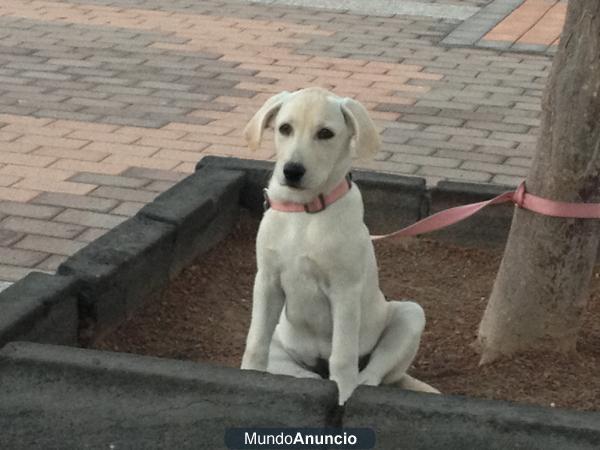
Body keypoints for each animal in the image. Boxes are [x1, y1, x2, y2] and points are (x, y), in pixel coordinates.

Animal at [241, 88, 438, 404]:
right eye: (285, 128)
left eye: (325, 133)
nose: (292, 171)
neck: (305, 212)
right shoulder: (267, 282)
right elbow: (255, 342)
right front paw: (247, 377)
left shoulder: (345, 291)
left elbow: (342, 357)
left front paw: (343, 397)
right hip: (281, 338)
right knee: (301, 373)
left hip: (410, 315)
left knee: (370, 374)